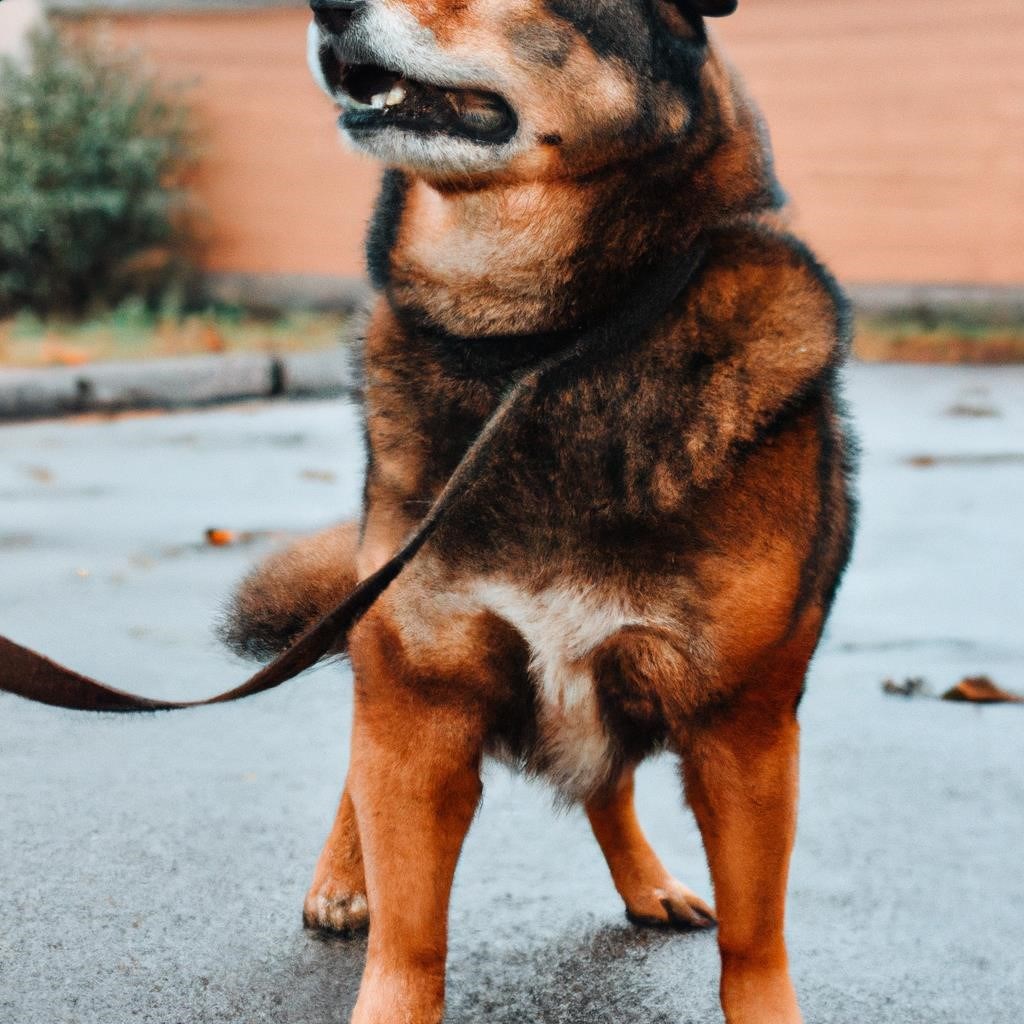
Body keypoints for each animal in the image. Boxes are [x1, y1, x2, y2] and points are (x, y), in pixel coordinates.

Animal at [222, 4, 856, 1019]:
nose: (326, 11)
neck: (540, 351)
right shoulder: (418, 702)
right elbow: (409, 935)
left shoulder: (744, 730)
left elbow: (755, 944)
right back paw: (344, 879)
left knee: (608, 783)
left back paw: (648, 883)